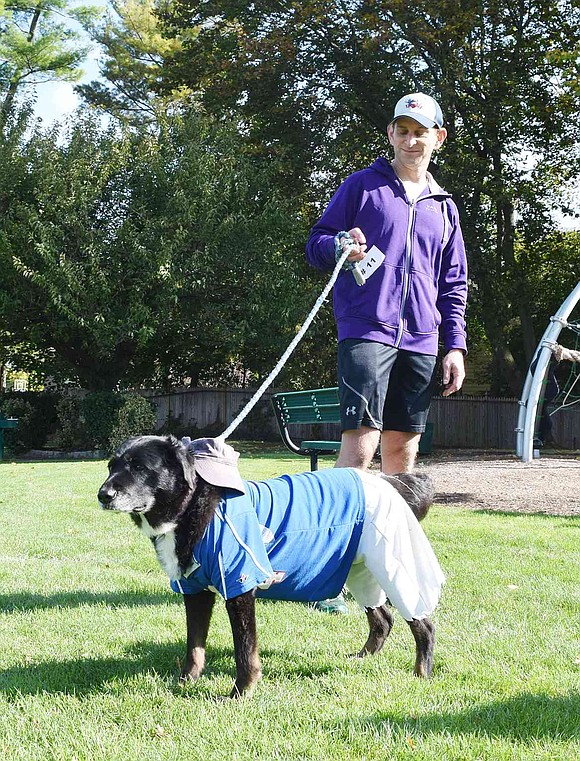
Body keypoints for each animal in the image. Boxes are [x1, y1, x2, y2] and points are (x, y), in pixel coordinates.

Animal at [98, 434, 444, 696]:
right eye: (112, 465)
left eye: (140, 467)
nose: (103, 494)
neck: (195, 507)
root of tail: (387, 481)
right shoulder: (196, 591)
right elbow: (194, 645)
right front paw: (185, 682)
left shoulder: (240, 587)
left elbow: (244, 651)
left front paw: (241, 693)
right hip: (361, 569)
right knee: (383, 618)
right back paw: (361, 659)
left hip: (392, 563)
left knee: (422, 623)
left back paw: (421, 674)